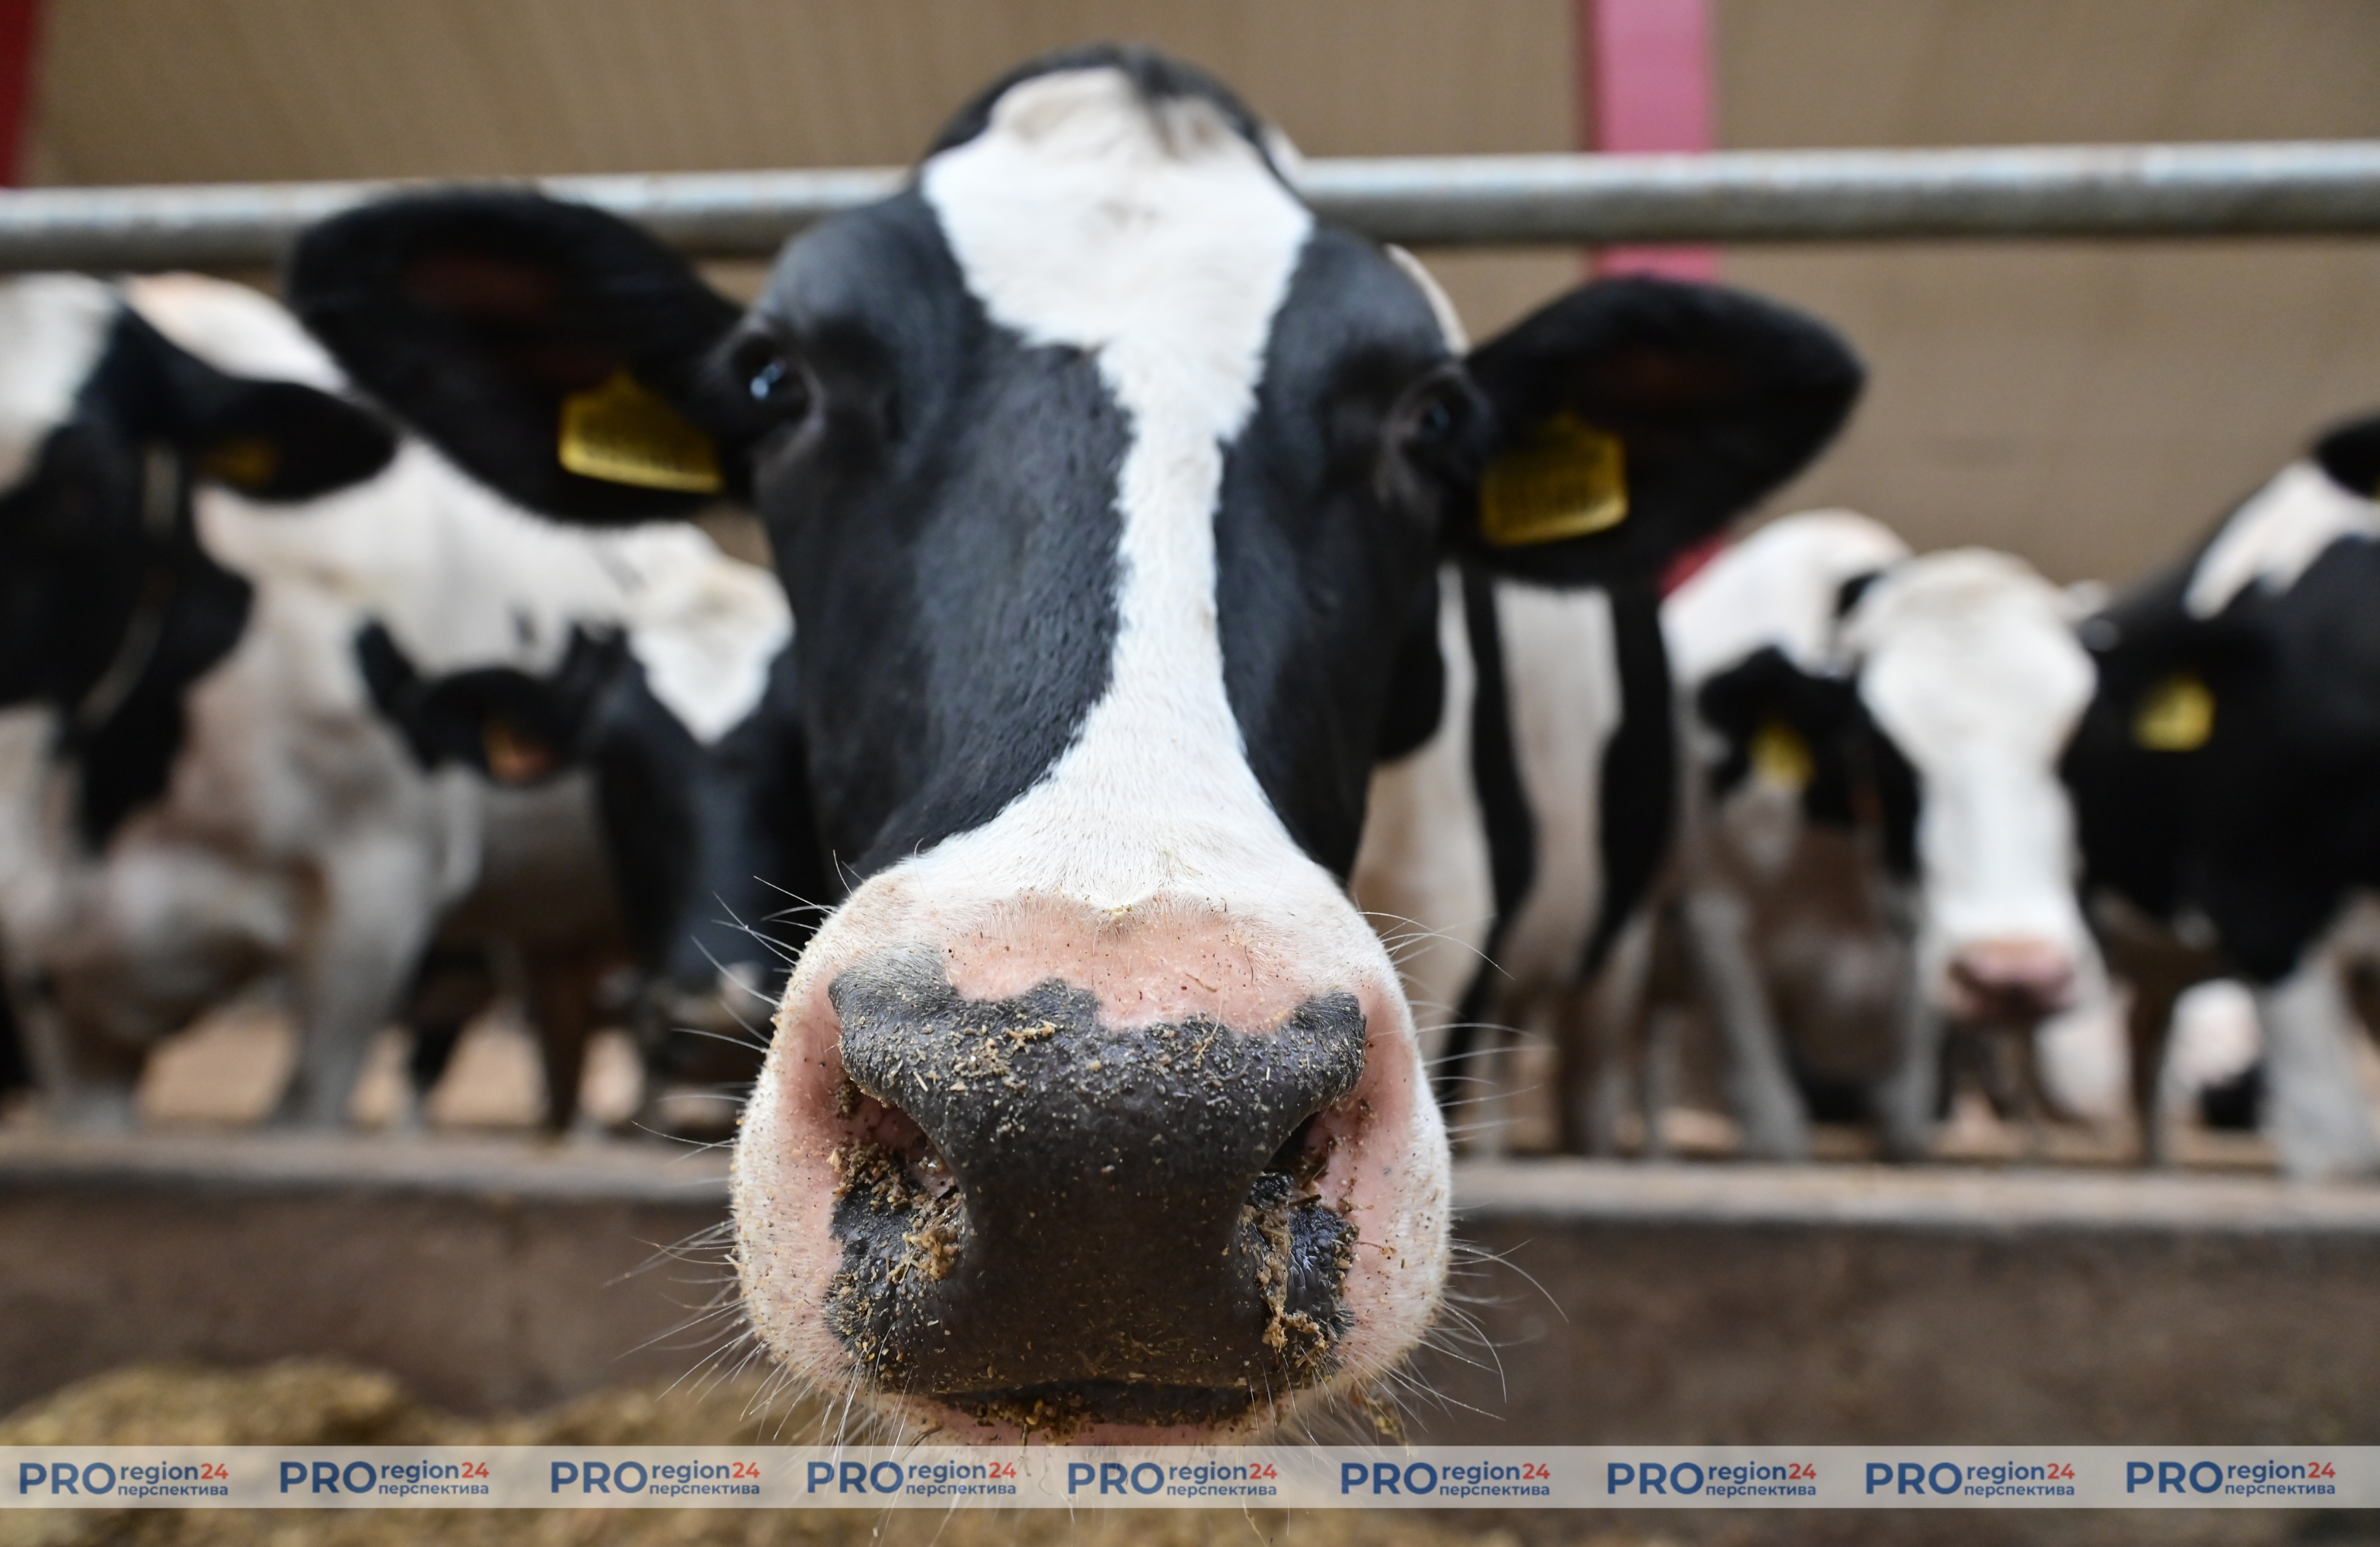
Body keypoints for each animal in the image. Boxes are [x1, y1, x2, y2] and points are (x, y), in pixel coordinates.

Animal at [1657, 511, 2103, 1158]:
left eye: (2079, 739)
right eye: (1879, 749)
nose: (2011, 976)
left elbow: (1904, 1115)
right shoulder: (1716, 925)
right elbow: (1774, 1122)